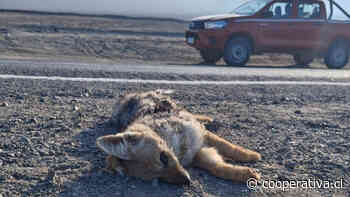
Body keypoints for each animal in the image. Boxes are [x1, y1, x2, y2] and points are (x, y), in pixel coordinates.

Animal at [97, 90, 262, 184]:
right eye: (159, 179)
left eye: (164, 157)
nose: (187, 182)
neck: (180, 149)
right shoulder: (197, 154)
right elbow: (217, 168)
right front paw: (243, 174)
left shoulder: (201, 135)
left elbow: (230, 147)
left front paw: (251, 156)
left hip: (179, 108)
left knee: (192, 113)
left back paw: (208, 119)